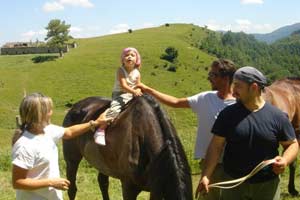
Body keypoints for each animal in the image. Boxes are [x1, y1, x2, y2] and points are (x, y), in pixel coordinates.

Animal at [62, 95, 192, 200]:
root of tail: (76, 106)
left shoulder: (155, 189)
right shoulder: (129, 188)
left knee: (103, 183)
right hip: (71, 160)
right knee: (72, 188)